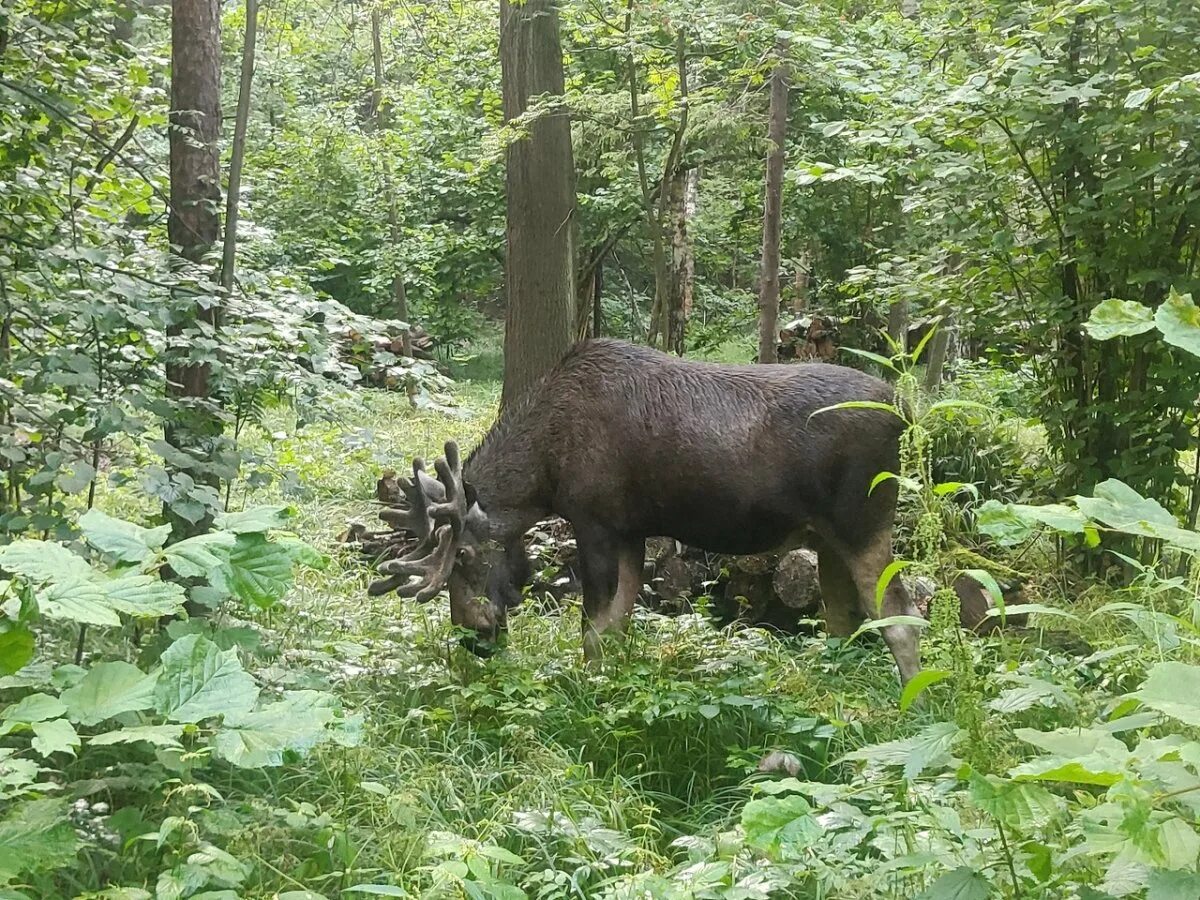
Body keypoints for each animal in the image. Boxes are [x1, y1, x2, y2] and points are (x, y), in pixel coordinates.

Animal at [369, 338, 921, 681]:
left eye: (462, 557)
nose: (474, 635)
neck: (543, 472)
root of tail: (905, 411)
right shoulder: (631, 531)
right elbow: (616, 626)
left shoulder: (594, 521)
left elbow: (593, 629)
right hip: (827, 540)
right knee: (844, 622)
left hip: (863, 524)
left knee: (900, 615)